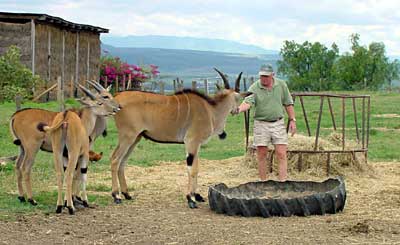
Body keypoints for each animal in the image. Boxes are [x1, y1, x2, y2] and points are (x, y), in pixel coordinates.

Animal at [109, 68, 250, 209]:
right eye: (237, 99)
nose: (237, 110)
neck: (211, 110)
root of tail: (117, 97)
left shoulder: (196, 145)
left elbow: (196, 167)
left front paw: (196, 196)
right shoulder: (191, 141)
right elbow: (192, 169)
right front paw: (191, 199)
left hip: (135, 138)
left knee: (122, 161)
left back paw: (127, 194)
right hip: (128, 136)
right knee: (115, 159)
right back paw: (116, 196)